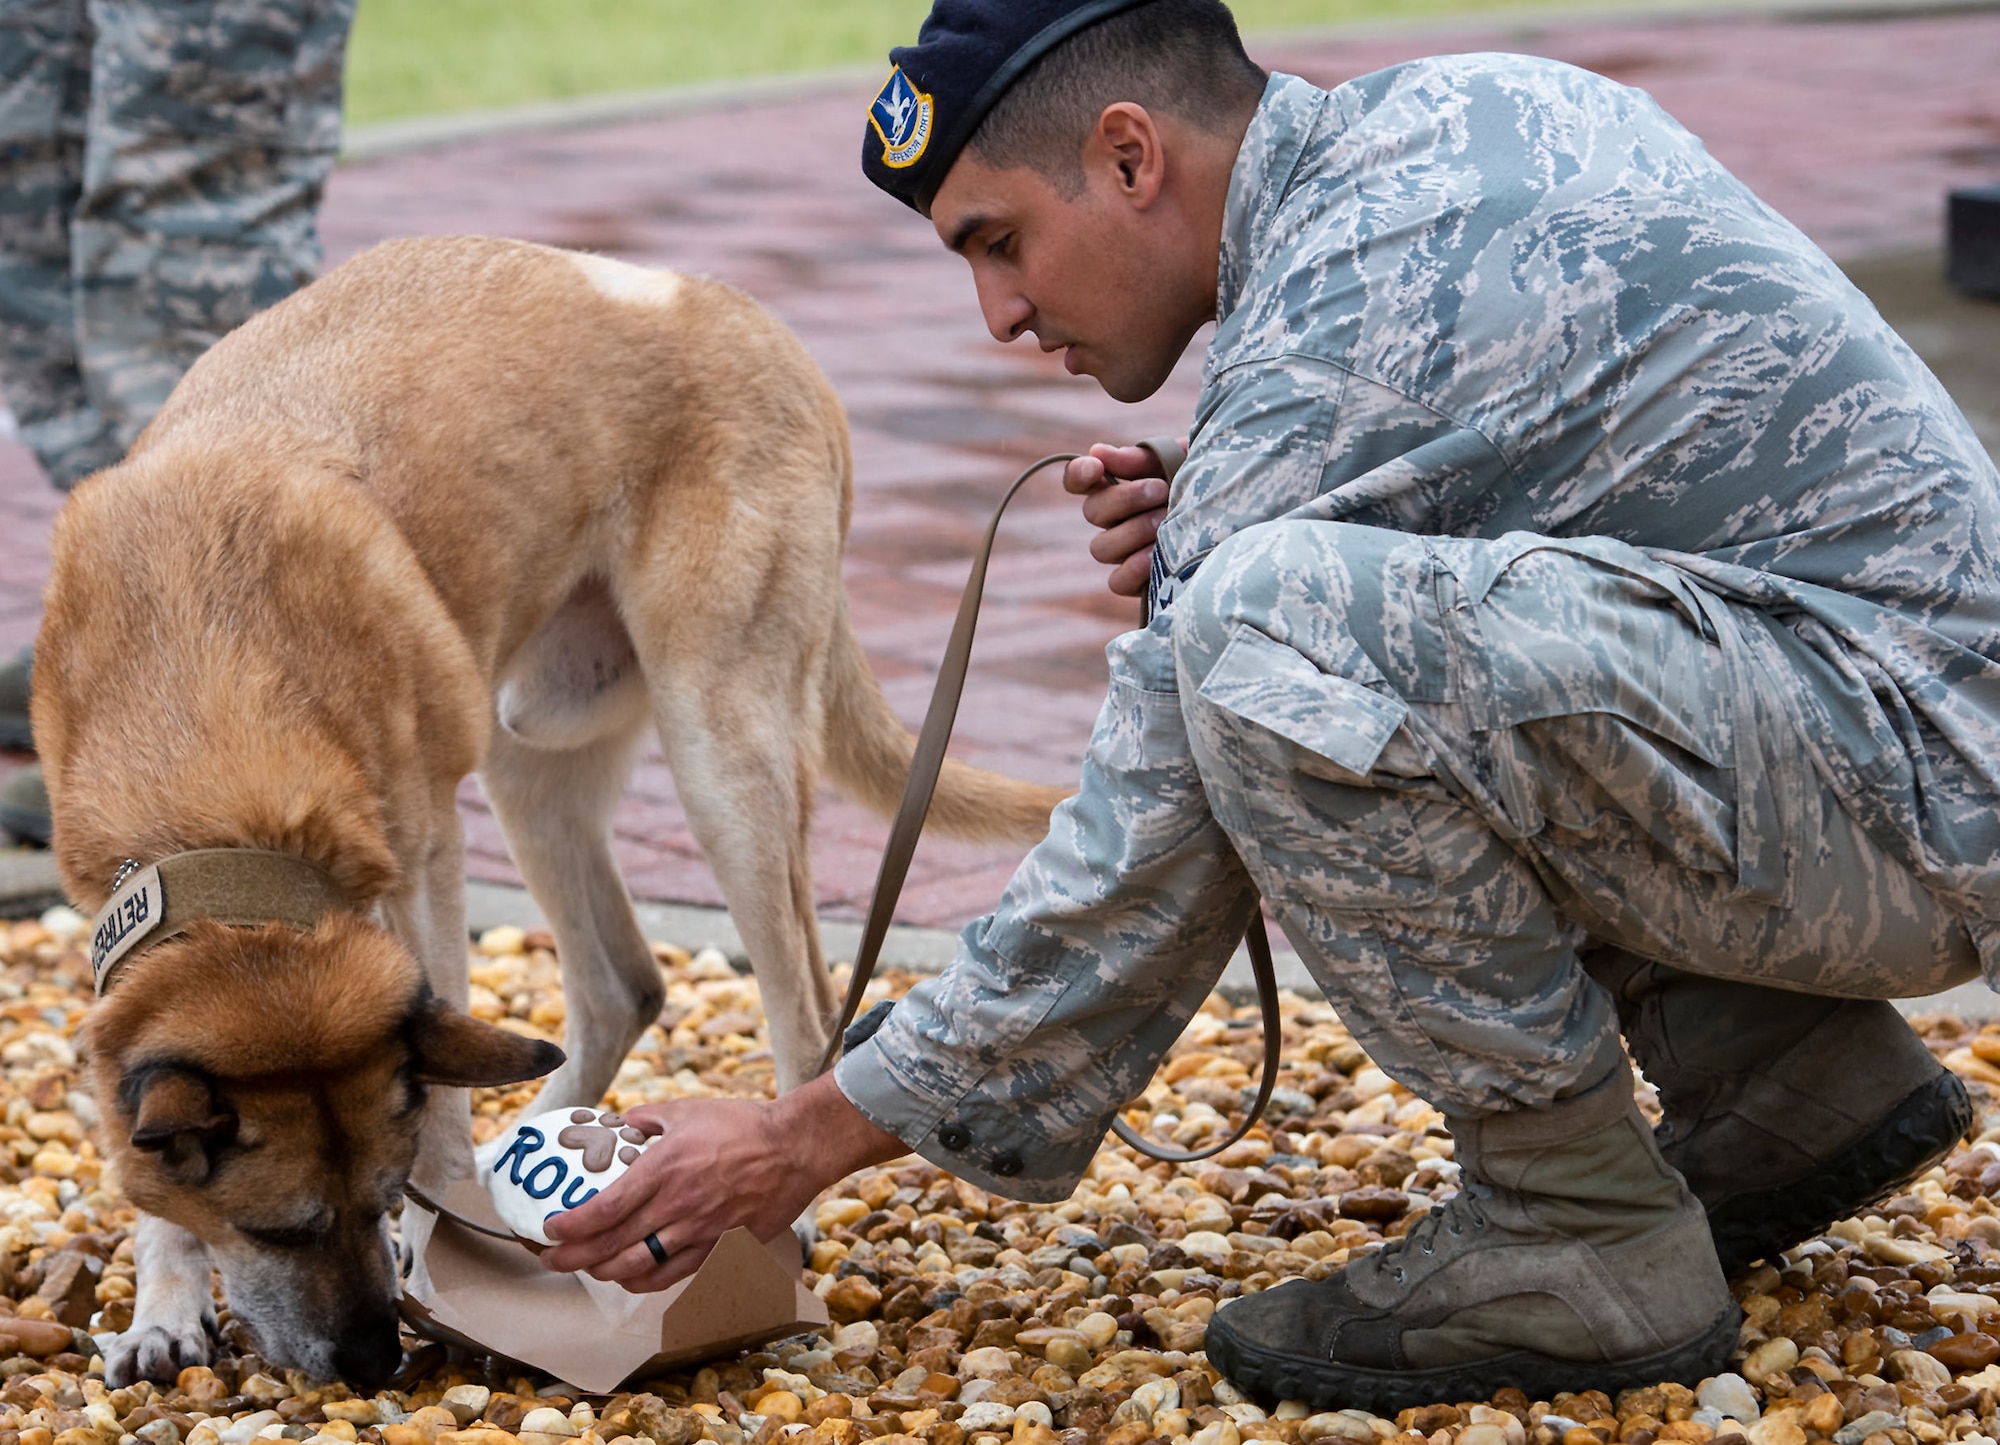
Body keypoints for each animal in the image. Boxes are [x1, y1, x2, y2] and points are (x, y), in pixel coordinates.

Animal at [35, 233, 1064, 1384]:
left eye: (375, 1194)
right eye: (275, 1229)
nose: (370, 1360)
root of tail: (758, 322)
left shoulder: (424, 859)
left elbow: (436, 1100)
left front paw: (432, 1246)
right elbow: (150, 1151)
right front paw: (163, 1305)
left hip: (721, 743)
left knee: (803, 1006)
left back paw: (766, 1216)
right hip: (528, 756)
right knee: (625, 983)